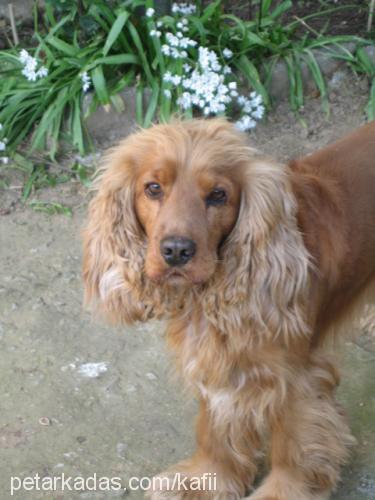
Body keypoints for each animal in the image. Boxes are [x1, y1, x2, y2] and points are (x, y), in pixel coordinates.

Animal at [83, 119, 375, 498]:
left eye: (218, 195)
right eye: (153, 188)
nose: (176, 251)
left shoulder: (298, 377)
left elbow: (293, 446)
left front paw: (282, 491)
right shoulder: (215, 361)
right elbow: (216, 430)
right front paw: (204, 481)